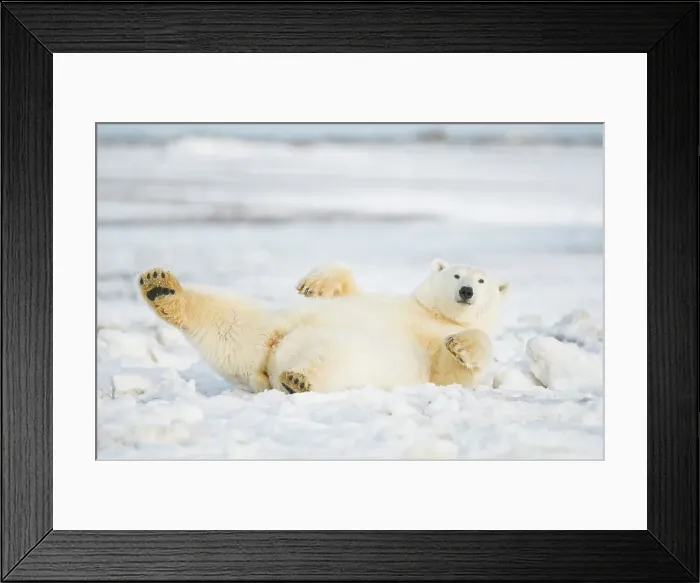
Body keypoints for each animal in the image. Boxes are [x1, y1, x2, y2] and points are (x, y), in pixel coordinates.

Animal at [136, 259, 509, 393]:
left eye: (482, 280)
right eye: (457, 275)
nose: (467, 291)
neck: (434, 315)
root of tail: (267, 369)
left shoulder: (431, 354)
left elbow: (451, 371)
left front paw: (461, 345)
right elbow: (347, 285)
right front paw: (313, 284)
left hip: (356, 359)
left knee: (332, 359)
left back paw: (298, 380)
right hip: (275, 324)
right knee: (232, 318)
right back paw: (161, 287)